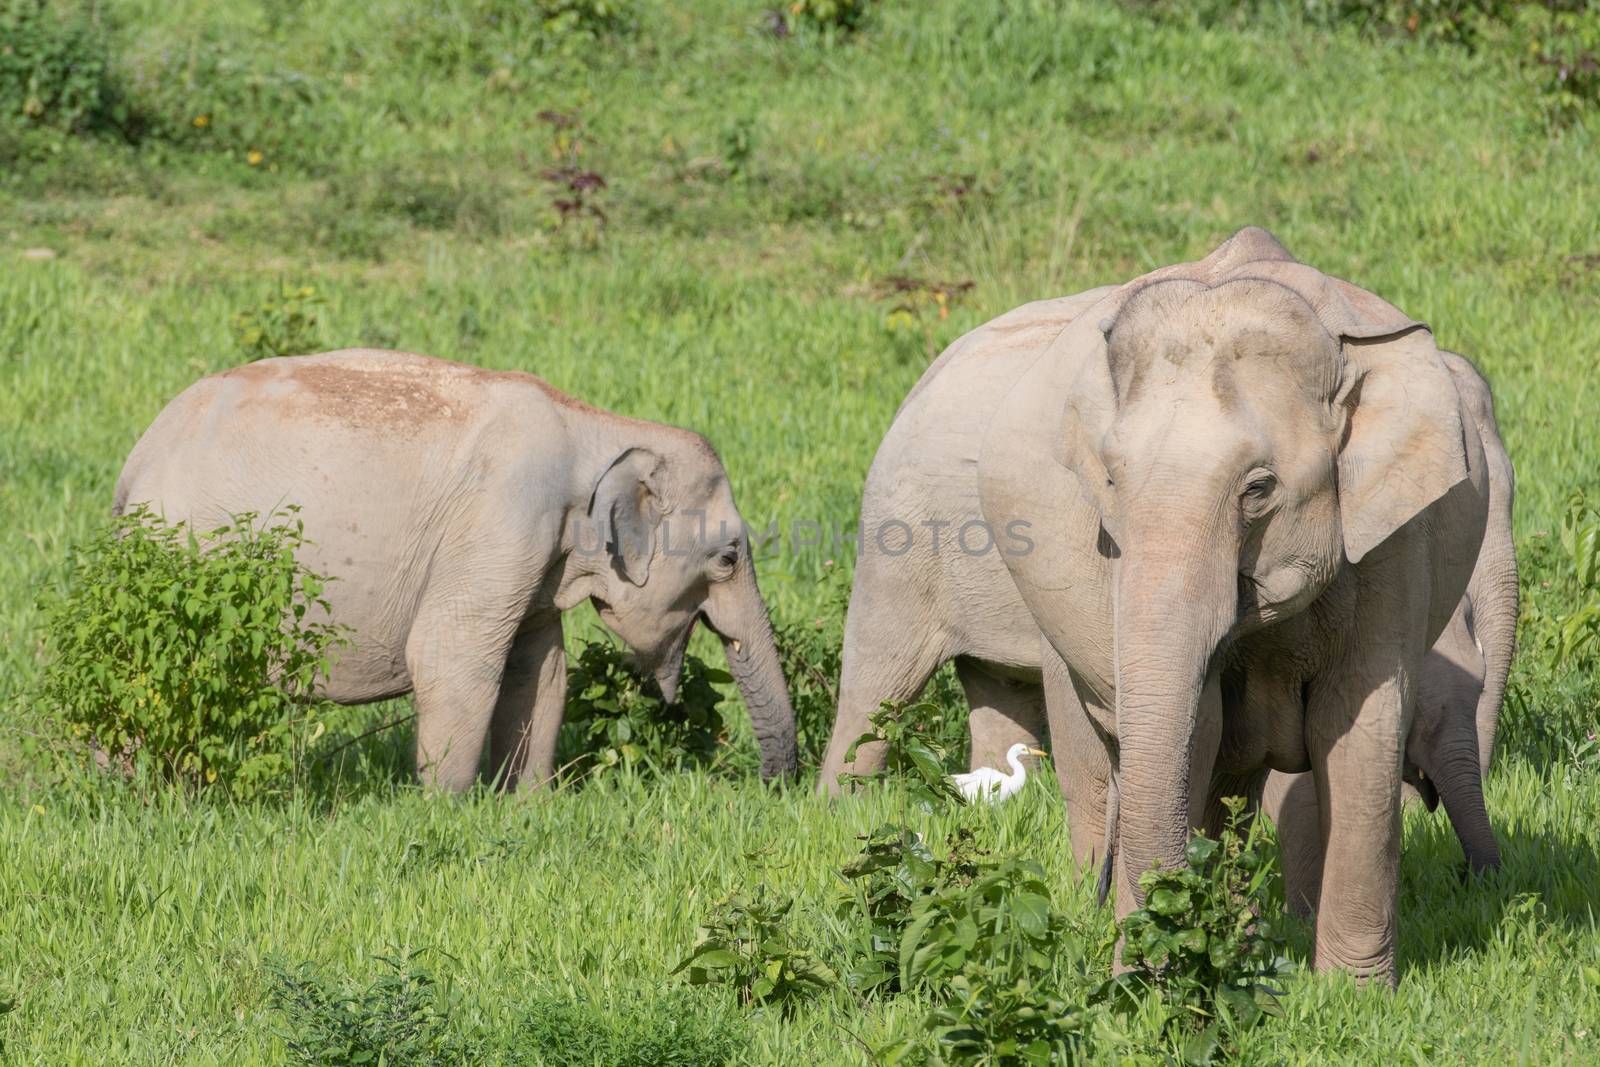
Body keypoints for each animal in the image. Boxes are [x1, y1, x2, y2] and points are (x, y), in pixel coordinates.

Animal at [116, 350, 800, 793]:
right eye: (728, 557)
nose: (767, 788)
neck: (595, 424)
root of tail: (135, 461)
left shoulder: (539, 554)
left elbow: (541, 669)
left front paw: (526, 804)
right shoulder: (502, 519)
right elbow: (451, 656)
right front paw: (447, 807)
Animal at [825, 230, 1497, 979]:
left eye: (1259, 487)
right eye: (1110, 479)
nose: (1139, 965)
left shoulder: (1395, 538)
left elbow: (1357, 728)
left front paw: (1349, 991)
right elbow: (1194, 731)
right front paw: (1155, 971)